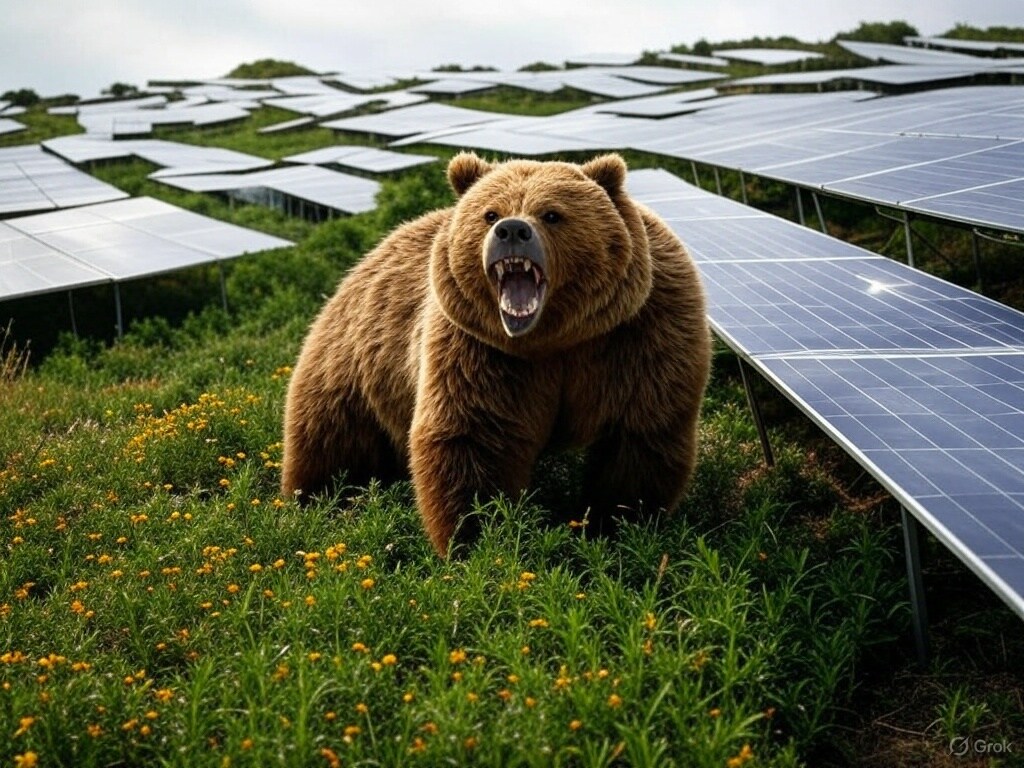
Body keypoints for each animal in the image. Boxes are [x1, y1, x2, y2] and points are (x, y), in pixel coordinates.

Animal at [282, 152, 711, 555]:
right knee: (332, 441)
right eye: (491, 213)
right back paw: (314, 502)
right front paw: (481, 539)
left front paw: (619, 525)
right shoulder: (480, 349)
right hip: (352, 365)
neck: (554, 338)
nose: (512, 230)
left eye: (552, 214)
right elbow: (475, 438)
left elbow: (640, 432)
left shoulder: (640, 332)